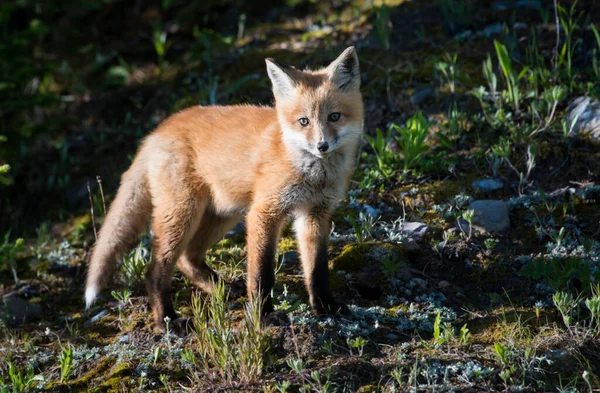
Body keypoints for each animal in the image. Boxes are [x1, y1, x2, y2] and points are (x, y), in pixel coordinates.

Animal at [86, 47, 364, 332]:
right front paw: (263, 316)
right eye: (304, 121)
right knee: (154, 272)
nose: (322, 146)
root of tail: (158, 130)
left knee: (188, 257)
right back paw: (167, 321)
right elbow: (262, 274)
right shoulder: (264, 213)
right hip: (183, 214)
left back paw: (221, 288)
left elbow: (317, 270)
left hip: (224, 213)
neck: (309, 171)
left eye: (334, 116)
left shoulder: (315, 214)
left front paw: (325, 307)